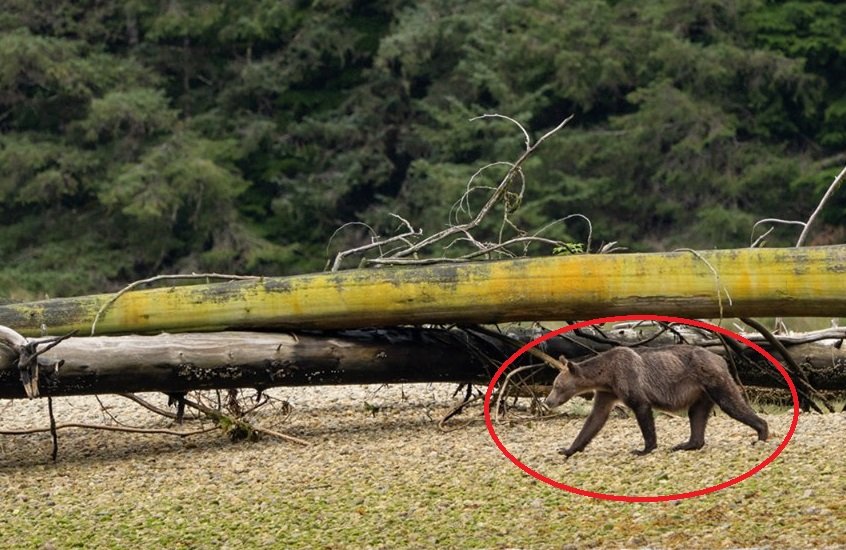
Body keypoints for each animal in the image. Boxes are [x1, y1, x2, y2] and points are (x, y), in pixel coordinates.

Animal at [548, 348, 772, 460]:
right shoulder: (607, 392)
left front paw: (643, 449)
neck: (607, 374)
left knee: (730, 403)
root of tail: (720, 358)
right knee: (696, 414)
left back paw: (761, 433)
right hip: (701, 392)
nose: (548, 401)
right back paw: (686, 444)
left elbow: (642, 409)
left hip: (713, 379)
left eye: (557, 385)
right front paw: (567, 449)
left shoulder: (628, 380)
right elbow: (595, 419)